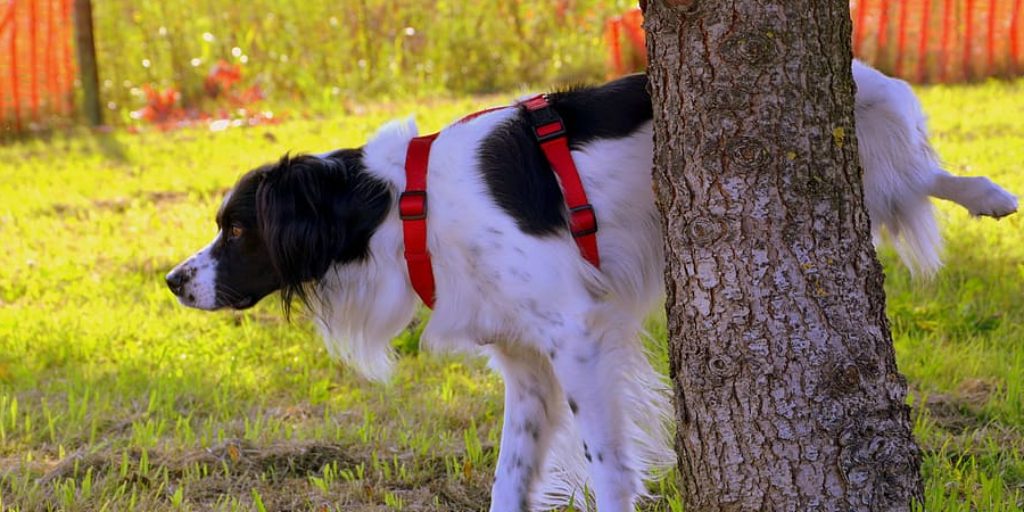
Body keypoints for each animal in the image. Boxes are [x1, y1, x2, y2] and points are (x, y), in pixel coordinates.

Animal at [165, 60, 1015, 512]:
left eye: (236, 231)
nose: (173, 280)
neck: (405, 206)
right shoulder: (526, 366)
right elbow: (511, 479)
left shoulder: (576, 338)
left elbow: (608, 462)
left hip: (867, 132)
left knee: (920, 167)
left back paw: (989, 194)